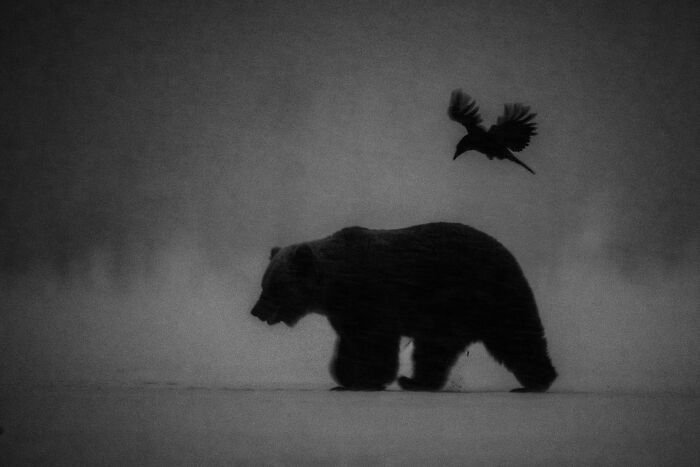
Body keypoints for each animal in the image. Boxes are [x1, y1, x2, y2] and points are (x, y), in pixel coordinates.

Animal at [250, 222, 557, 392]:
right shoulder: (345, 312)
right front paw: (345, 376)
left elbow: (374, 341)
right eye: (263, 284)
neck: (337, 285)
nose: (255, 311)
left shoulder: (372, 297)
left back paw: (537, 382)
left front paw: (366, 379)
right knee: (441, 350)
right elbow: (351, 342)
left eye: (272, 288)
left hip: (475, 296)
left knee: (514, 335)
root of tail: (509, 254)